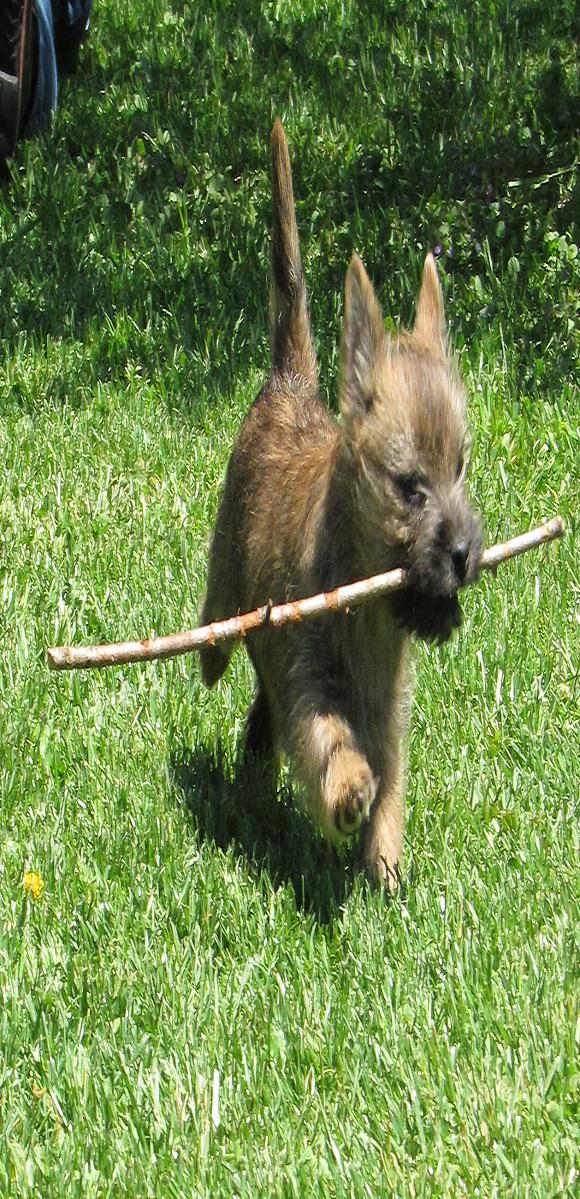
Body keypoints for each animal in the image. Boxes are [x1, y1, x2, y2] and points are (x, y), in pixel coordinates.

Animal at [198, 121, 479, 892]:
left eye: (461, 468)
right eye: (410, 487)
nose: (465, 555)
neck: (367, 602)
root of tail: (291, 382)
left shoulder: (388, 708)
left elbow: (392, 777)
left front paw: (382, 861)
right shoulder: (311, 678)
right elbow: (328, 737)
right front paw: (349, 790)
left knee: (261, 705)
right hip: (224, 582)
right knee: (221, 639)